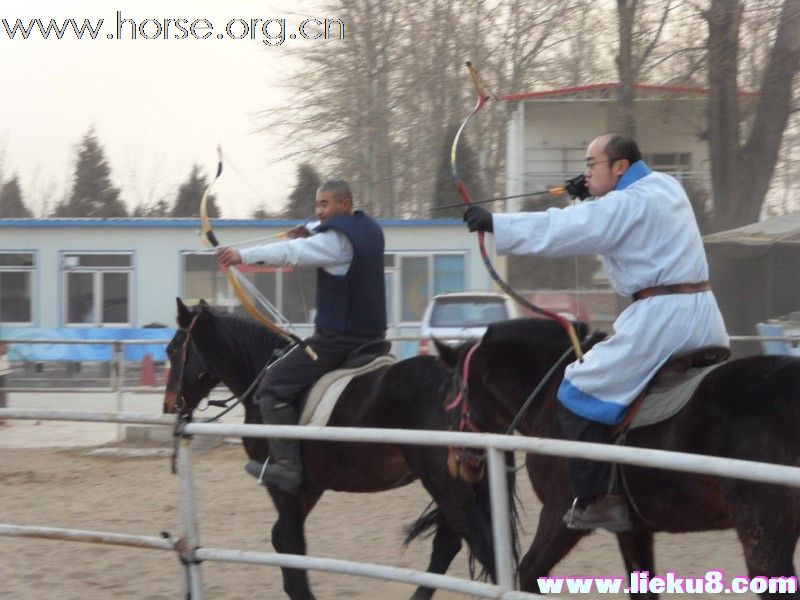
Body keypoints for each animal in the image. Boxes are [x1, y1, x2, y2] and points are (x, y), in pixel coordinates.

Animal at [163, 300, 516, 600]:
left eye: (172, 349)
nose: (170, 406)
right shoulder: (310, 487)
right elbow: (283, 538)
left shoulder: (282, 485)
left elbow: (289, 541)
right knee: (448, 545)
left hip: (447, 487)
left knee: (481, 544)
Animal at [438, 316, 800, 596]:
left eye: (451, 390)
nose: (456, 461)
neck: (549, 395)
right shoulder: (633, 529)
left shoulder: (559, 516)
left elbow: (528, 573)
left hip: (764, 539)